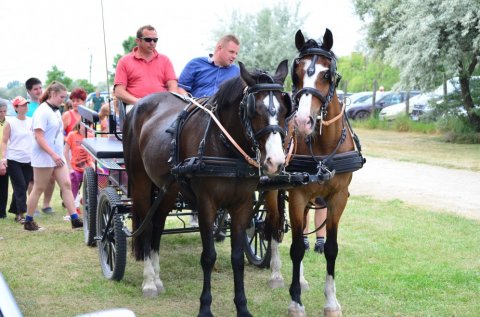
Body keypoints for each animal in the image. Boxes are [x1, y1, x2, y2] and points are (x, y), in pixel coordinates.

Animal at [122, 59, 290, 316]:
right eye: (254, 110)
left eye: (284, 109)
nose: (276, 162)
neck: (225, 147)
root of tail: (138, 107)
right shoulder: (206, 205)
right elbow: (208, 257)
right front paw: (205, 307)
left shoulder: (242, 205)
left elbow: (237, 258)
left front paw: (242, 307)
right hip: (141, 184)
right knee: (147, 227)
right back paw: (149, 282)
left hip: (168, 189)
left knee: (158, 224)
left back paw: (157, 279)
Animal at [266, 30, 364, 316]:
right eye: (296, 74)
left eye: (327, 74)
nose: (301, 121)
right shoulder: (297, 196)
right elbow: (297, 248)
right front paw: (295, 302)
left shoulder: (338, 198)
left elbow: (330, 248)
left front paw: (331, 301)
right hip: (272, 192)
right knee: (272, 228)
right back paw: (276, 275)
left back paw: (300, 279)